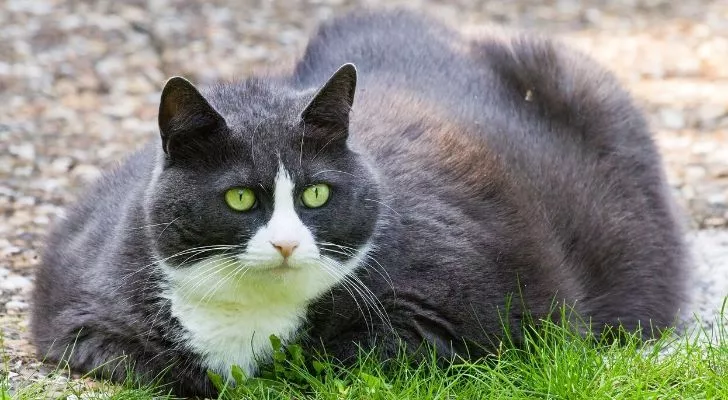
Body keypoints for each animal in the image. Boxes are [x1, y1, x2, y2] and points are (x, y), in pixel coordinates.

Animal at [29, 7, 688, 398]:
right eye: (240, 197)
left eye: (317, 192)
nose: (286, 243)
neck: (253, 312)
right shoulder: (79, 312)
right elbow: (152, 362)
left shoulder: (454, 315)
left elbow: (337, 361)